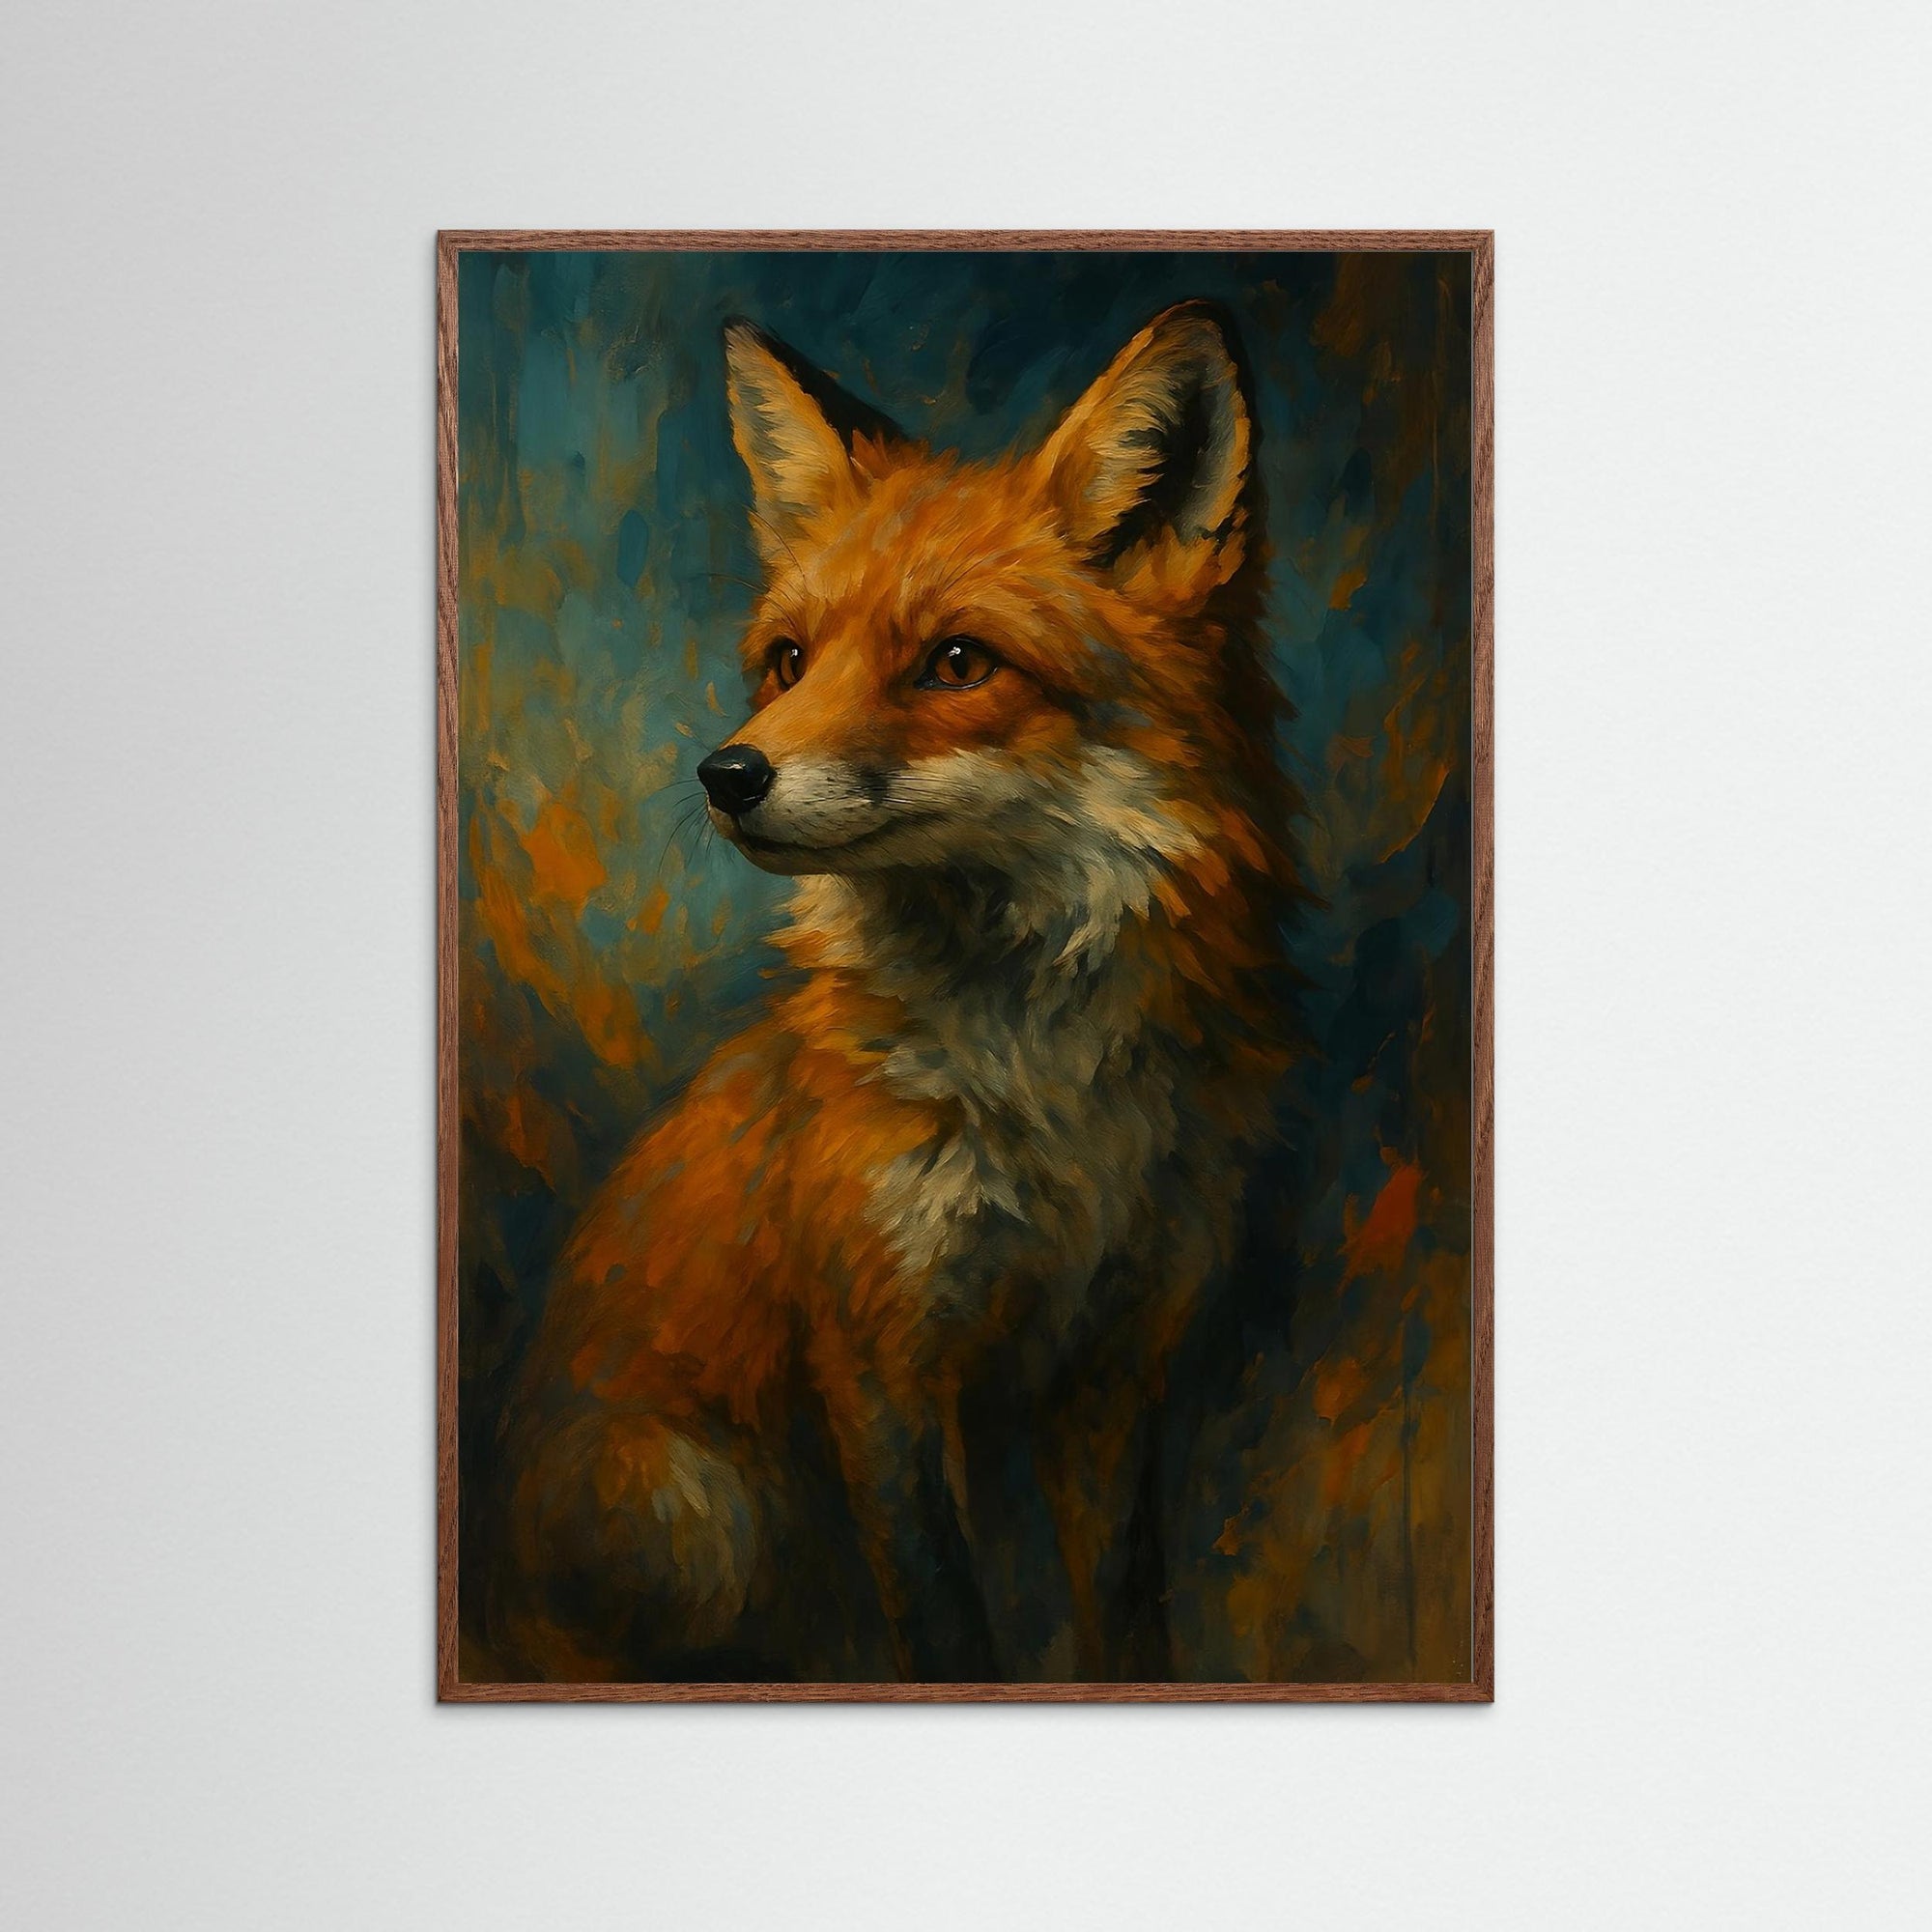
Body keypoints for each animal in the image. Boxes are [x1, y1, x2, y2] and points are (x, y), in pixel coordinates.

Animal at [495, 301, 1303, 1683]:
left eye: (956, 661)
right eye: (788, 659)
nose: (725, 774)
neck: (1040, 1080)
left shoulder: (1112, 1356)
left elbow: (1122, 1605)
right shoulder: (880, 1357)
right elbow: (940, 1622)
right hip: (708, 1519)